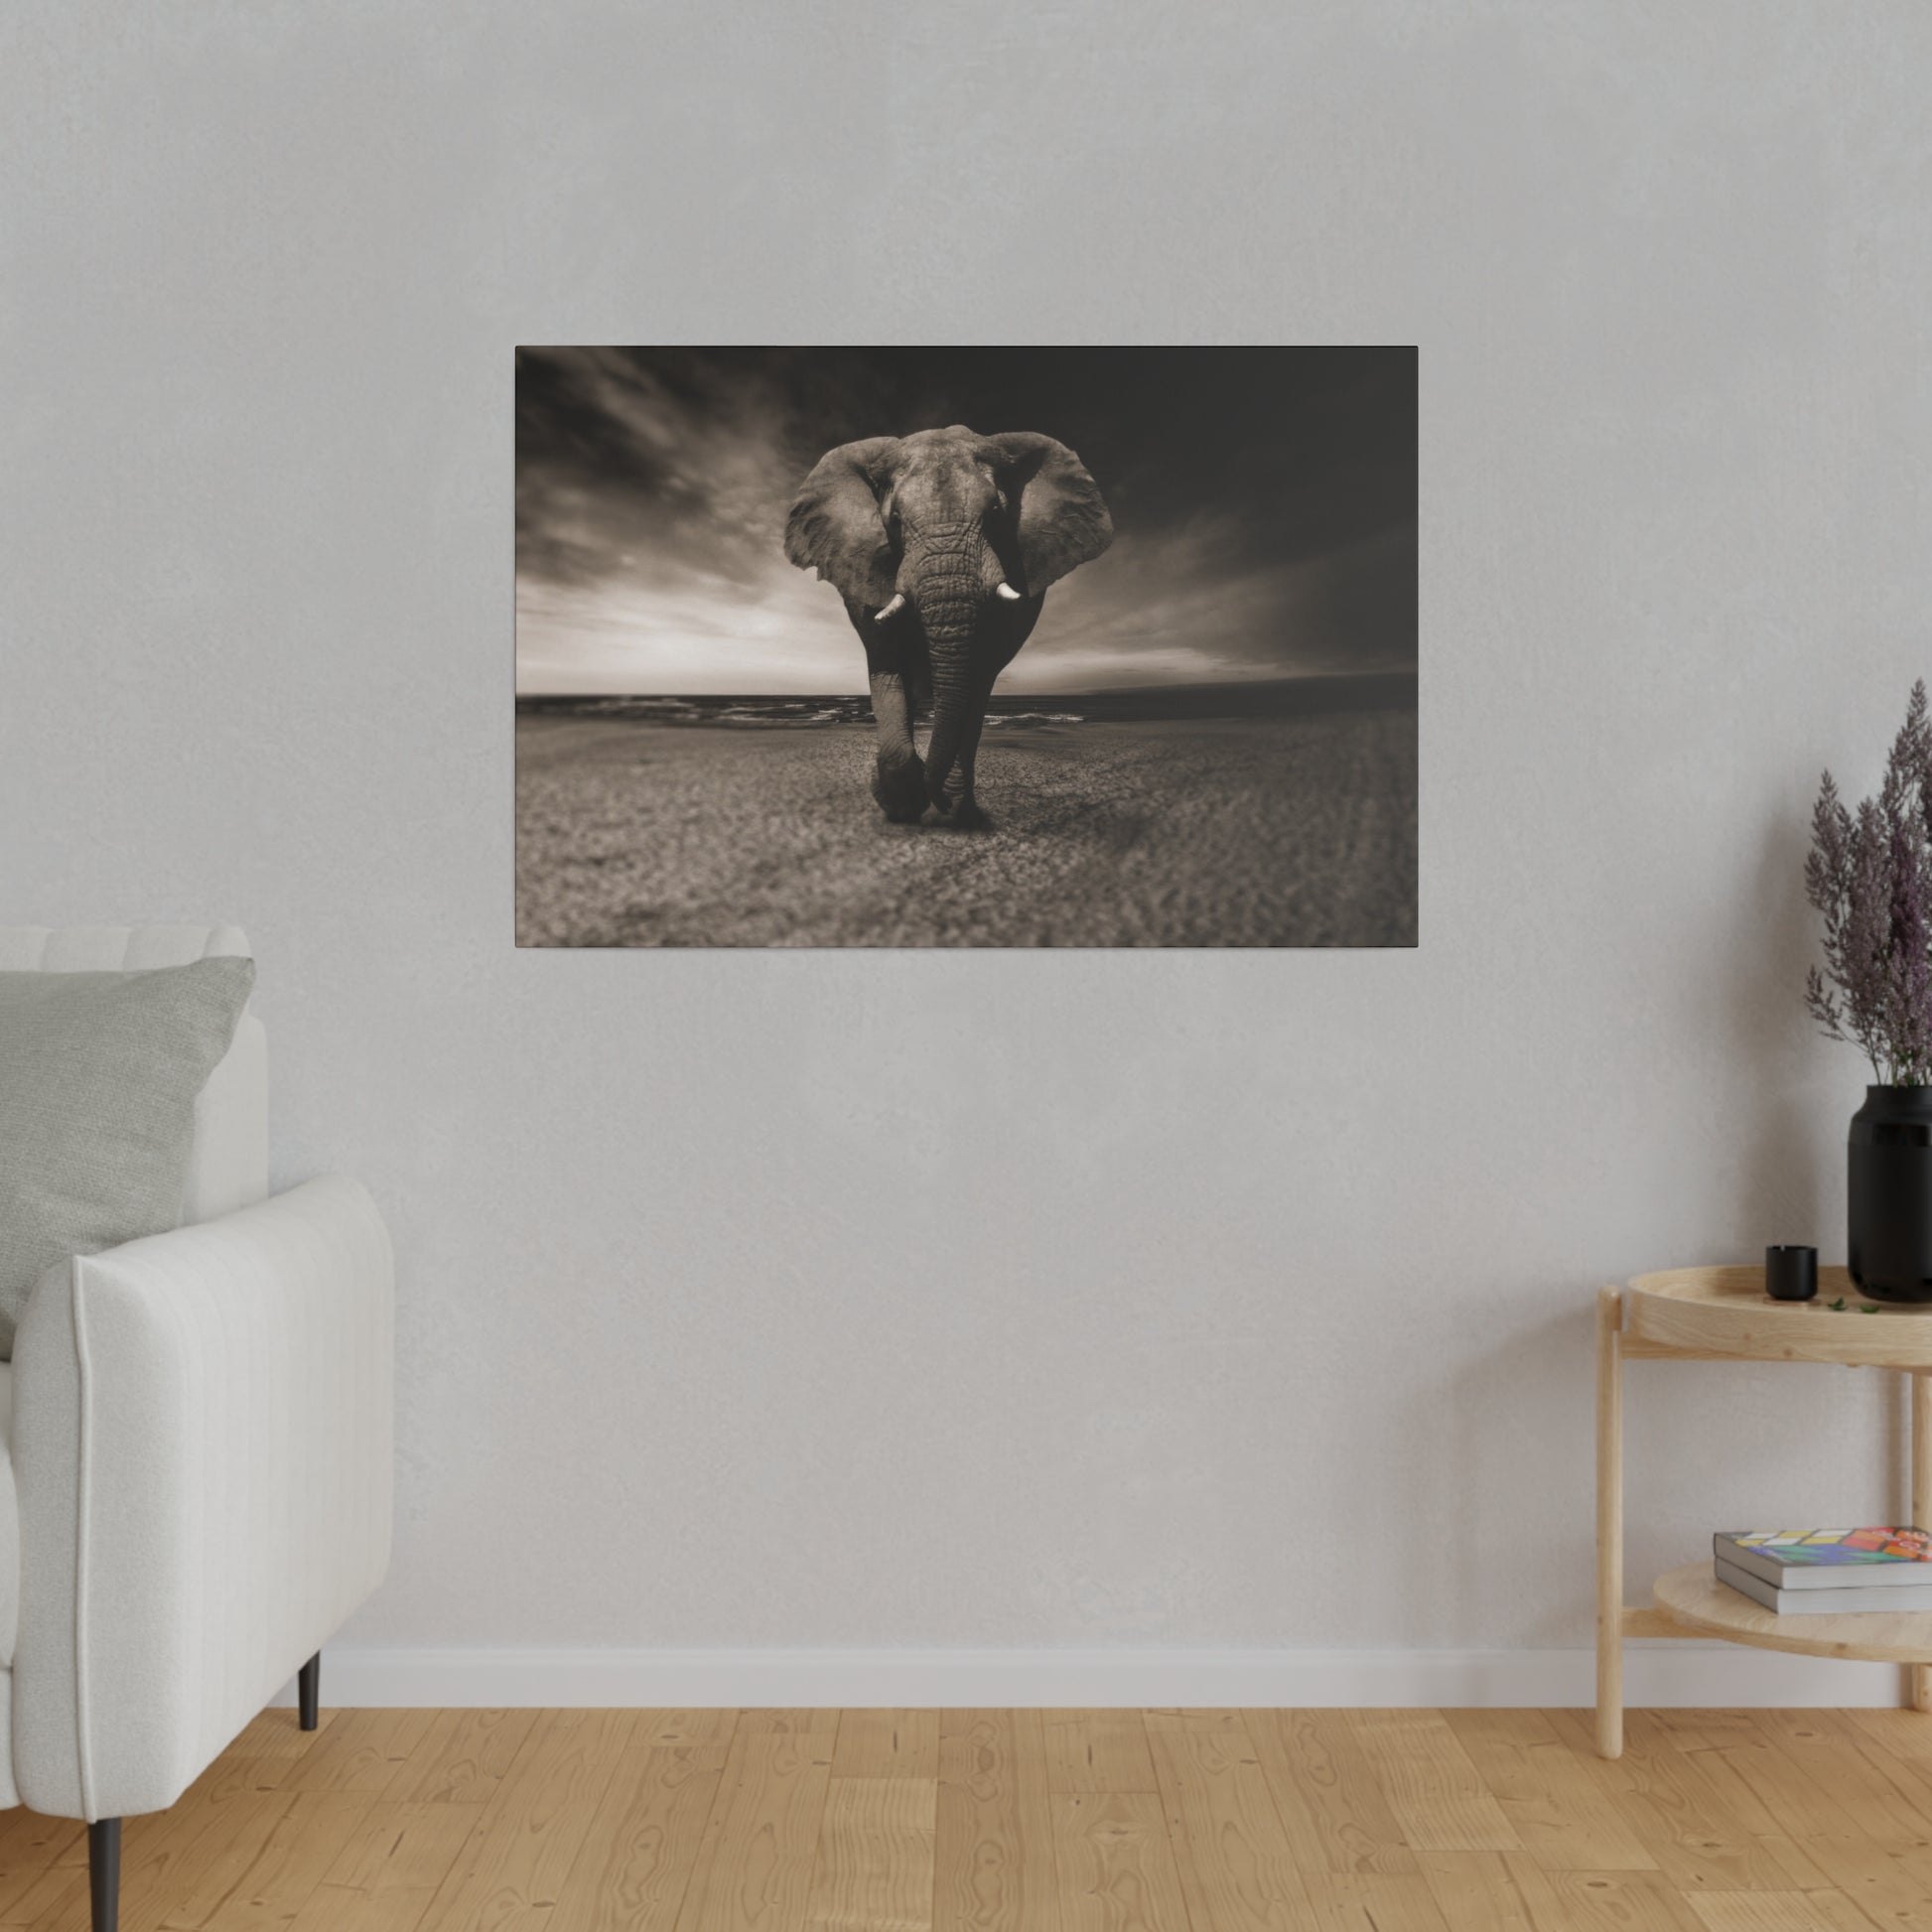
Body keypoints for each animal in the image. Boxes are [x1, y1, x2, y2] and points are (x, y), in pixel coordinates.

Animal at [784, 427, 1112, 826]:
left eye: (996, 514)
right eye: (895, 520)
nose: (935, 798)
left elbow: (977, 678)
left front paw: (948, 808)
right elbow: (887, 665)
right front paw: (903, 804)